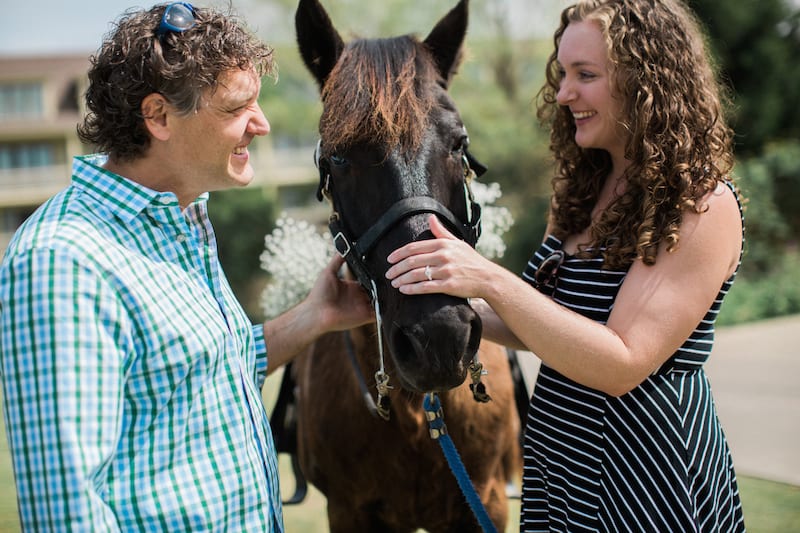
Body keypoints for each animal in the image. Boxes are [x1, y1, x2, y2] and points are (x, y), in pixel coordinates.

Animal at [282, 2, 524, 528]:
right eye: (338, 156)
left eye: (459, 143)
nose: (439, 335)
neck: (419, 412)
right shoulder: (349, 511)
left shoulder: (487, 501)